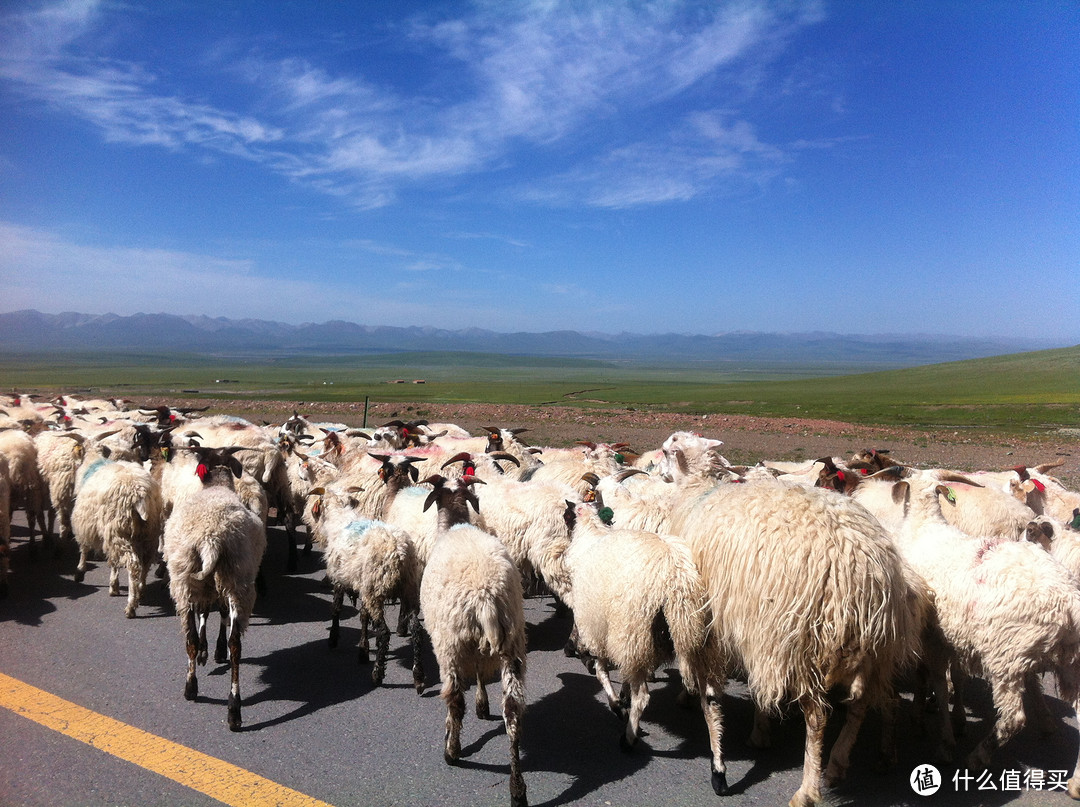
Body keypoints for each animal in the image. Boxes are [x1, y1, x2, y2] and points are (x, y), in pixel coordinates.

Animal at [162, 445, 267, 734]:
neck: (217, 487)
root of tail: (211, 538)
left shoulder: (206, 588)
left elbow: (207, 615)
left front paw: (208, 652)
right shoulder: (211, 586)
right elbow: (213, 615)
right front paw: (211, 651)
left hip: (191, 583)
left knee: (196, 639)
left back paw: (200, 693)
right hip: (233, 579)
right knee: (232, 645)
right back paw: (230, 708)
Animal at [306, 486, 423, 687]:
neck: (341, 518)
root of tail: (399, 551)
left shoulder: (339, 578)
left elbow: (336, 609)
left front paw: (333, 639)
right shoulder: (362, 585)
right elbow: (363, 617)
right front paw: (364, 649)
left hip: (376, 590)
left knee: (384, 632)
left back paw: (377, 674)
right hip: (408, 588)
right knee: (416, 629)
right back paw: (418, 678)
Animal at [416, 473, 527, 807]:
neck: (454, 525)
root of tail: (485, 596)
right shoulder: (481, 646)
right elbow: (480, 672)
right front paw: (483, 705)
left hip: (449, 644)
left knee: (454, 700)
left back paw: (451, 751)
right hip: (512, 643)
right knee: (513, 711)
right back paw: (517, 789)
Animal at [557, 499, 708, 751]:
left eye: (566, 516)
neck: (591, 535)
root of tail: (674, 577)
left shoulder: (597, 625)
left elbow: (601, 671)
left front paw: (618, 706)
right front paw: (622, 696)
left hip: (632, 628)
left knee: (643, 697)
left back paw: (629, 738)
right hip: (678, 630)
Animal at [851, 466, 1080, 795]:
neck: (925, 526)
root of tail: (1068, 599)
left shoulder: (932, 637)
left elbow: (935, 680)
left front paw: (943, 740)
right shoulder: (955, 636)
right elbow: (952, 678)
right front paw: (946, 719)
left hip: (1007, 657)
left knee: (1013, 718)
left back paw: (977, 757)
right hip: (1067, 659)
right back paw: (1075, 783)